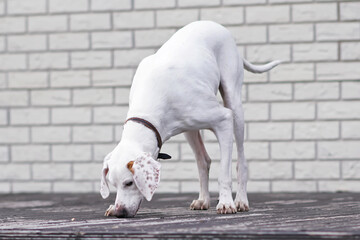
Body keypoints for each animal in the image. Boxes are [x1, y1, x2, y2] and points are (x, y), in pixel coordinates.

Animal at [100, 21, 282, 218]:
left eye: (129, 183)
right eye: (113, 184)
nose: (120, 211)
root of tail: (216, 24)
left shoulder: (224, 121)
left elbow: (224, 174)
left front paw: (226, 202)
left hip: (234, 106)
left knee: (241, 162)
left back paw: (241, 200)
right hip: (189, 130)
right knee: (203, 161)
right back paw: (203, 200)